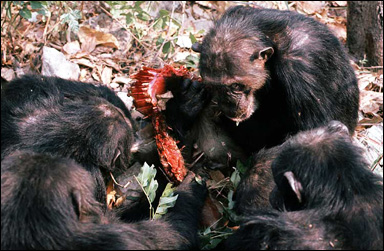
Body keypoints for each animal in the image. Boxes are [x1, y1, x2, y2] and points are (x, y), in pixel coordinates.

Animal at [163, 5, 360, 170]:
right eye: (215, 87)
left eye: (236, 86)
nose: (229, 105)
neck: (269, 39)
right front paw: (186, 102)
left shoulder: (305, 68)